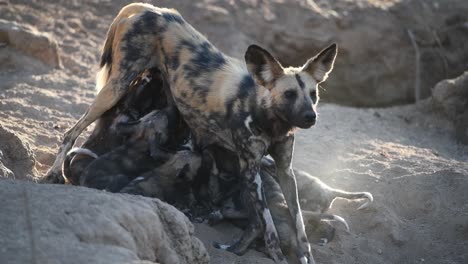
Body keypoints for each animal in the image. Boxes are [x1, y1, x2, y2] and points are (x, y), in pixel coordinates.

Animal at [44, 3, 336, 262]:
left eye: (313, 95)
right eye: (289, 95)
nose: (310, 117)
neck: (270, 120)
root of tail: (149, 9)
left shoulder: (285, 172)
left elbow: (299, 226)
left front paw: (305, 256)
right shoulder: (252, 171)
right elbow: (270, 227)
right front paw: (277, 256)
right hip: (116, 87)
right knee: (71, 132)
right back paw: (53, 174)